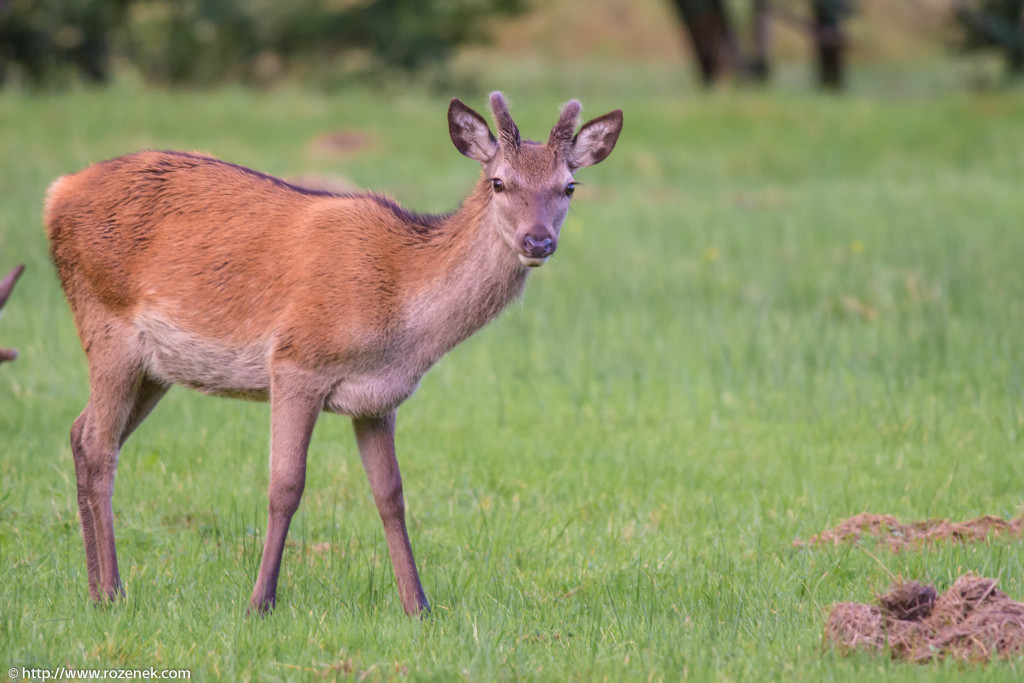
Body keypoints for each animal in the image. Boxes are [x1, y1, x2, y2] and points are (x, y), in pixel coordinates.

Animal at [46, 90, 622, 614]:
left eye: (568, 186)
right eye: (499, 182)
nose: (537, 241)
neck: (402, 315)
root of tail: (56, 194)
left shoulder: (379, 397)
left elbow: (391, 496)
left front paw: (418, 605)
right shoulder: (297, 361)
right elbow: (285, 485)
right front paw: (259, 602)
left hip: (155, 367)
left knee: (81, 432)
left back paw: (95, 588)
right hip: (106, 323)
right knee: (99, 445)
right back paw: (112, 592)